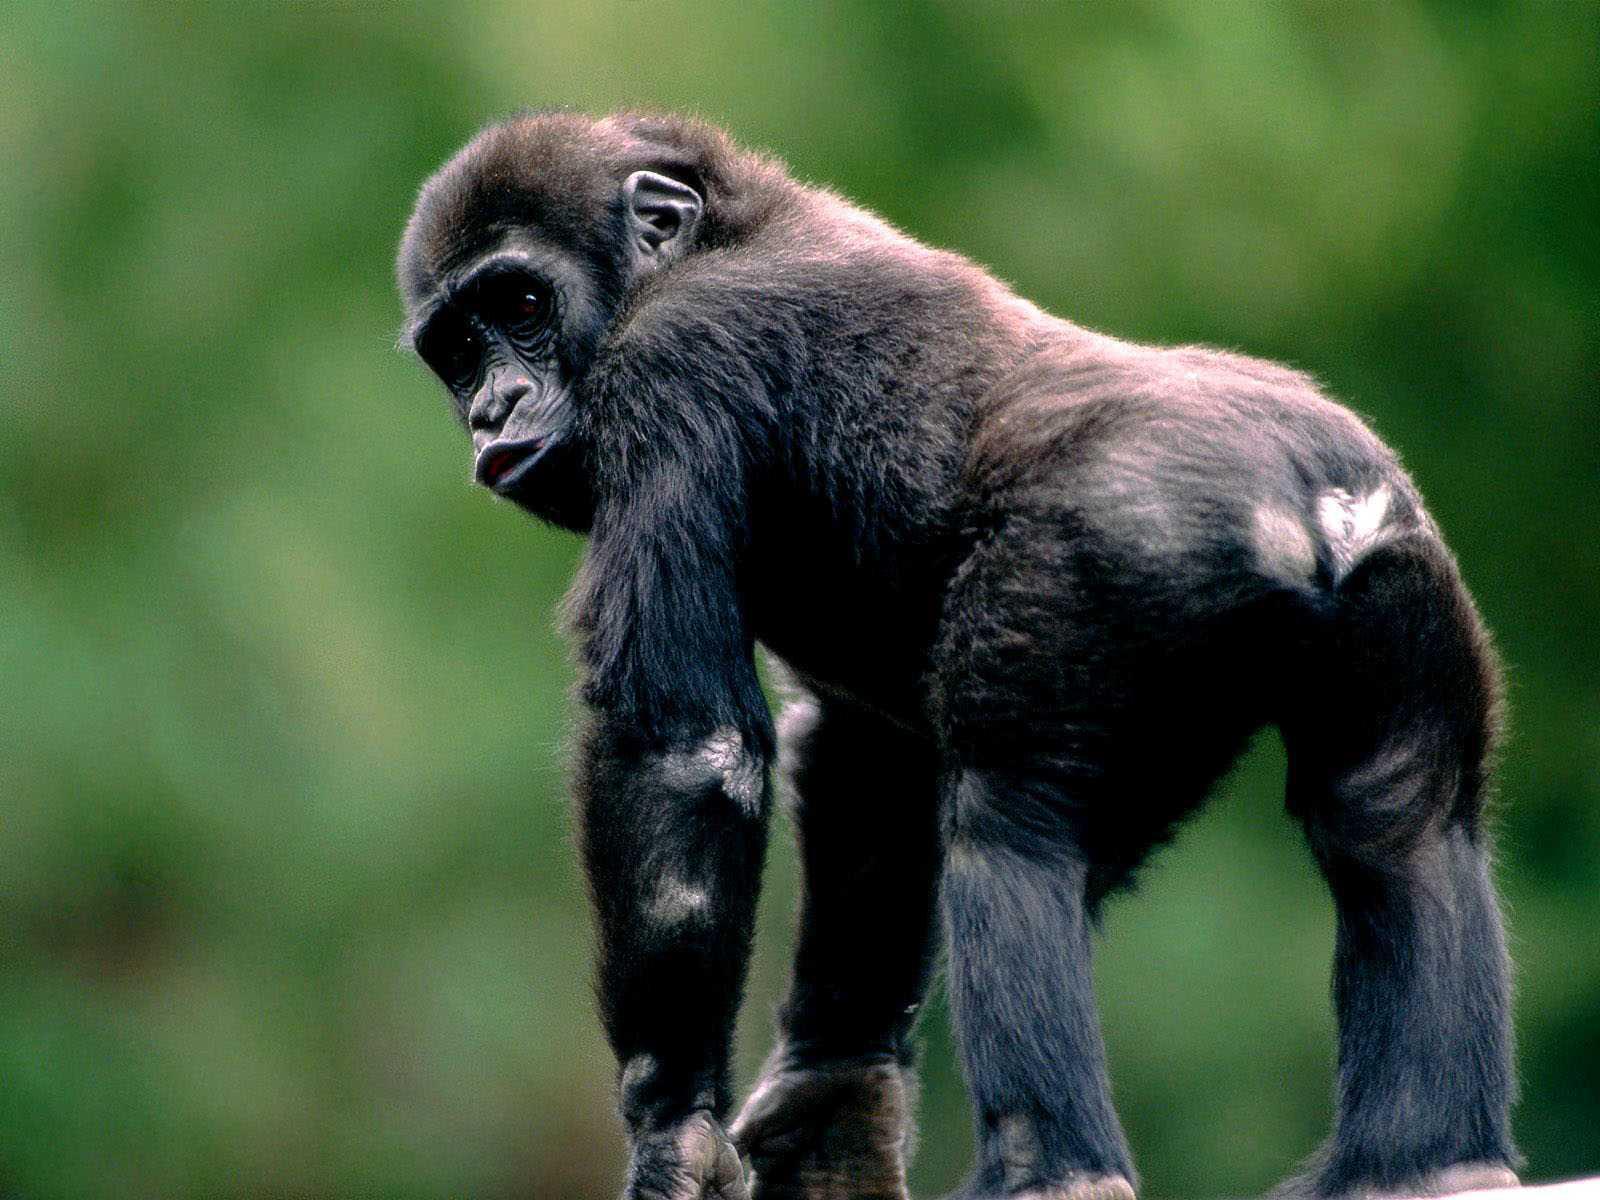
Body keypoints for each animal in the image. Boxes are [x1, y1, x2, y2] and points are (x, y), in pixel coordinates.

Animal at [396, 111, 1520, 1200]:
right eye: (457, 349)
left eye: (521, 304)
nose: (492, 409)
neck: (719, 231)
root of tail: (1310, 499)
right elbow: (871, 758)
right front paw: (832, 1095)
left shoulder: (670, 361)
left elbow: (681, 750)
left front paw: (674, 1125)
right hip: (1399, 573)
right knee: (1397, 822)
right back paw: (1425, 1161)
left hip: (1098, 552)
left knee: (1009, 829)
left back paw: (1051, 1173)